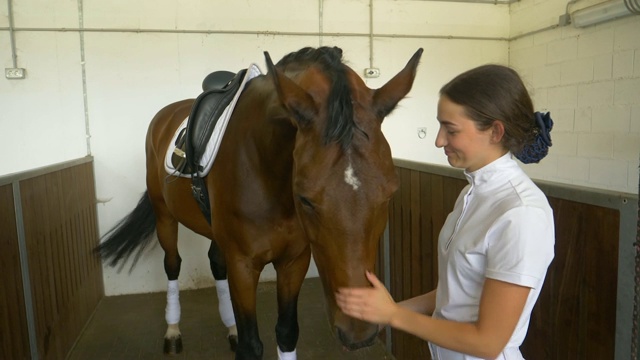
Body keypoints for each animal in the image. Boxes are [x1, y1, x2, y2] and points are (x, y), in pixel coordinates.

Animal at [96, 46, 420, 358]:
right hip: (165, 217)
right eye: (305, 199)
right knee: (173, 264)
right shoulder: (243, 265)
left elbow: (287, 333)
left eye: (389, 194)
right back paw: (173, 331)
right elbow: (250, 345)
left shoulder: (294, 261)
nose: (358, 333)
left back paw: (229, 327)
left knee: (215, 262)